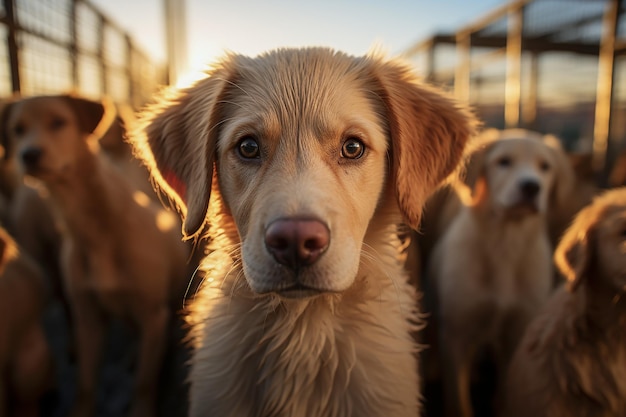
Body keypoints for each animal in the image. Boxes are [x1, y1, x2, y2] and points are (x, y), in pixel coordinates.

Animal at [428, 127, 576, 416]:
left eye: (545, 167)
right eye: (503, 161)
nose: (531, 186)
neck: (505, 245)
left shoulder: (517, 330)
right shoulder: (455, 333)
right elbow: (458, 399)